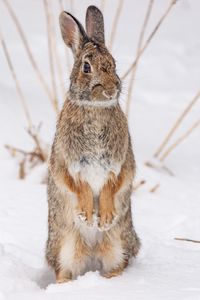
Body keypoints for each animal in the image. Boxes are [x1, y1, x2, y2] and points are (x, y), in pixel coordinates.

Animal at [46, 4, 140, 282]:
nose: (111, 90)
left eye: (114, 64)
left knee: (117, 262)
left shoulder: (121, 162)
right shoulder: (66, 162)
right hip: (65, 246)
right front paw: (88, 216)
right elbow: (78, 186)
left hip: (118, 243)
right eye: (86, 68)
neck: (95, 108)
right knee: (64, 269)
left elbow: (113, 184)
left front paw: (105, 217)